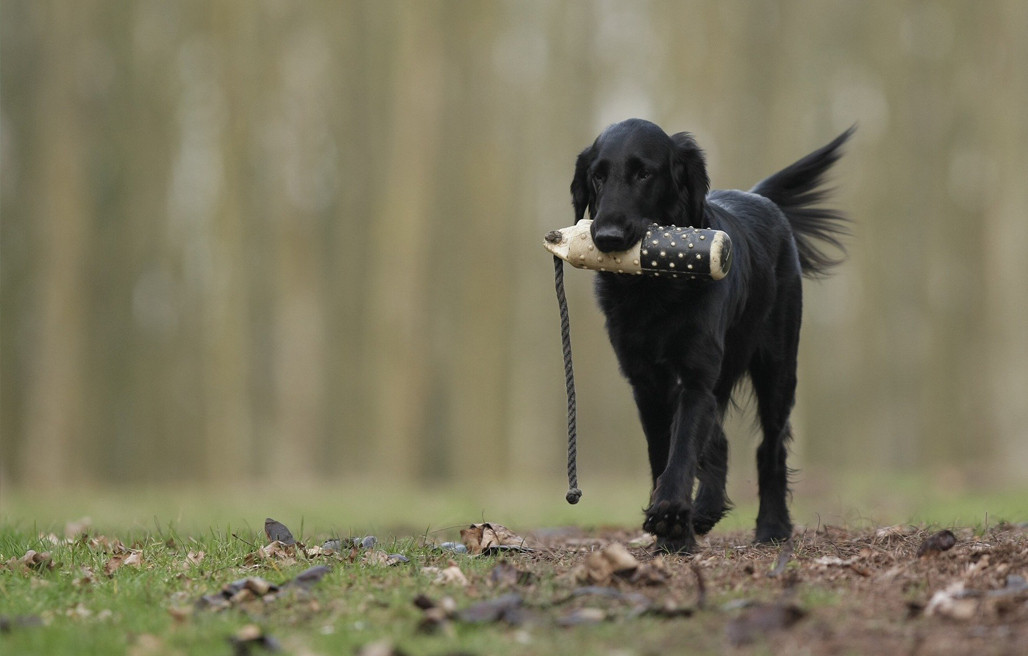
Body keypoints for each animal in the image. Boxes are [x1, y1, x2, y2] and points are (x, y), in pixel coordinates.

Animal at [571, 119, 851, 555]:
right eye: (598, 176)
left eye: (644, 173)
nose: (608, 237)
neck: (654, 289)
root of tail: (758, 197)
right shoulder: (646, 383)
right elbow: (664, 451)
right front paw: (673, 529)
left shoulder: (696, 375)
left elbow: (683, 448)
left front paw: (671, 518)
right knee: (719, 442)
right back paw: (705, 510)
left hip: (777, 366)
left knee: (770, 445)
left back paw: (772, 527)